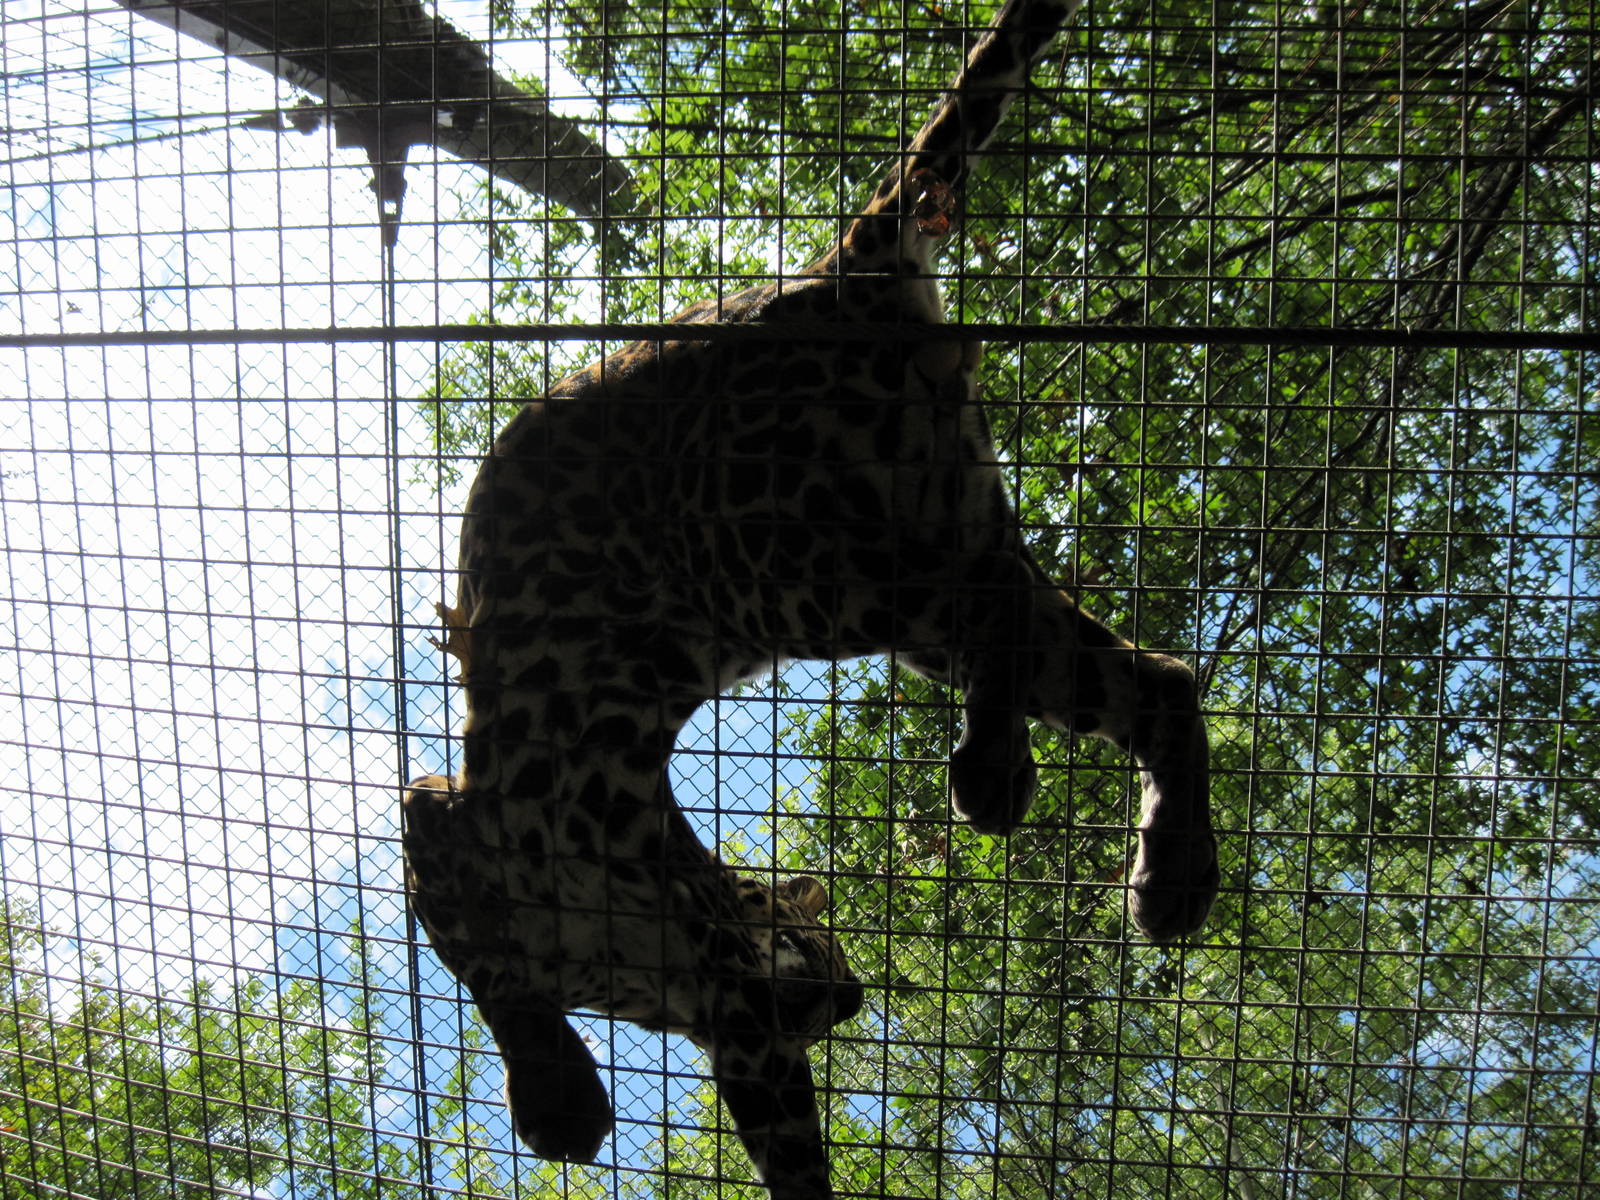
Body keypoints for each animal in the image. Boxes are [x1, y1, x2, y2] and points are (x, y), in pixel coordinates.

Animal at [402, 0, 1219, 1196]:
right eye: (827, 950)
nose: (850, 995)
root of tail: (845, 260)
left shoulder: (725, 998)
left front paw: (558, 1102)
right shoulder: (452, 822)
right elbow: (493, 968)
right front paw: (557, 1099)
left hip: (790, 566)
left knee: (998, 609)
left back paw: (994, 777)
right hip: (887, 535)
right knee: (1143, 671)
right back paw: (1162, 872)